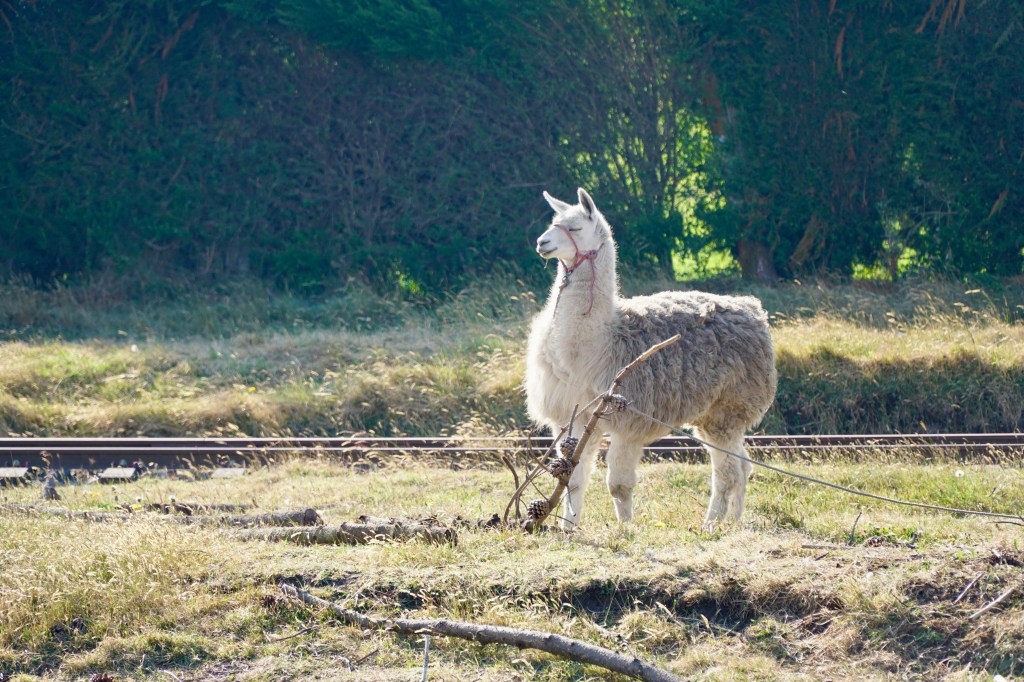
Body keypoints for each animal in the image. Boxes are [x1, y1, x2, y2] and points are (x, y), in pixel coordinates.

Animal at [525, 188, 777, 530]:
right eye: (554, 222)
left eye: (574, 227)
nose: (542, 243)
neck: (597, 343)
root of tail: (751, 308)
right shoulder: (573, 414)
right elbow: (573, 478)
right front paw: (569, 528)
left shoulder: (629, 419)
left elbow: (618, 484)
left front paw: (625, 529)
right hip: (715, 414)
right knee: (744, 466)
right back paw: (733, 521)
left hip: (728, 407)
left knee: (727, 473)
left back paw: (711, 525)